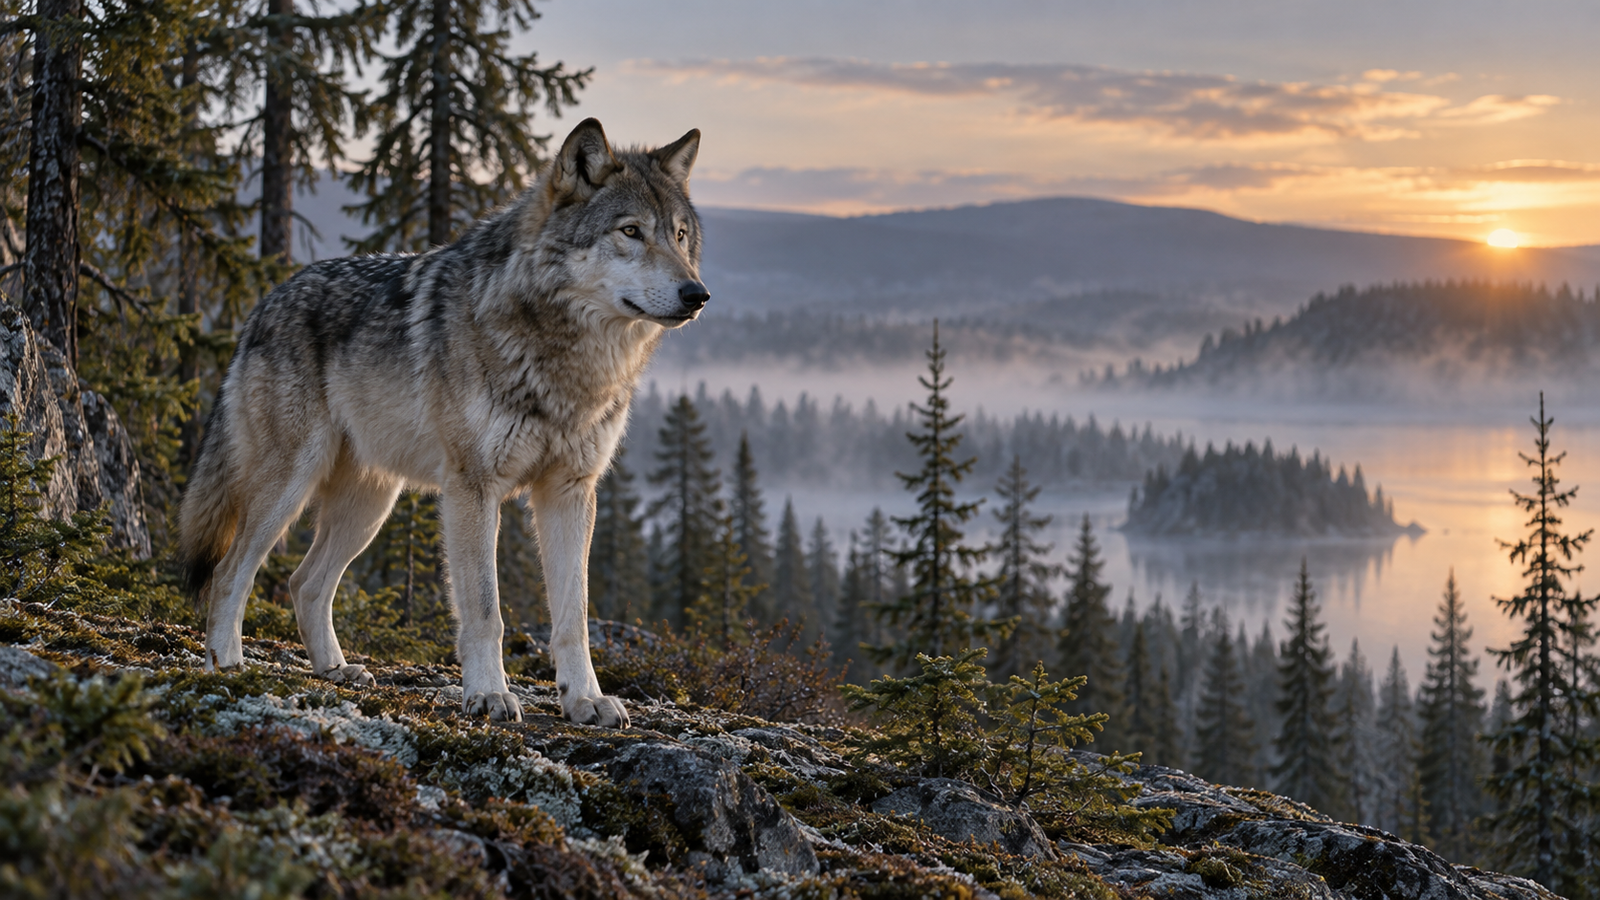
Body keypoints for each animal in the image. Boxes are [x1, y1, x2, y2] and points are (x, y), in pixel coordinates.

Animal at [178, 119, 706, 726]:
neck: (567, 360)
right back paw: (227, 662)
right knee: (231, 571)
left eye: (681, 236)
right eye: (631, 231)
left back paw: (335, 670)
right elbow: (484, 610)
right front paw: (489, 694)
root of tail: (265, 303)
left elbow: (574, 616)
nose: (697, 293)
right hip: (290, 486)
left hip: (370, 506)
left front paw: (585, 699)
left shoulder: (570, 492)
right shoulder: (473, 489)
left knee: (304, 582)